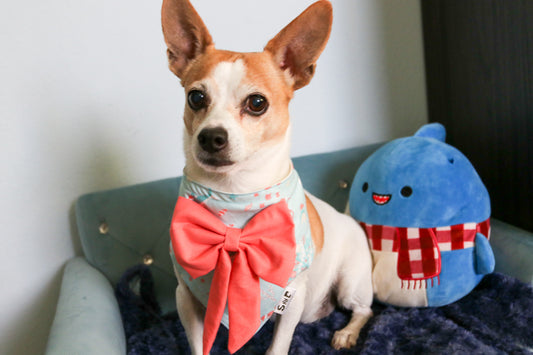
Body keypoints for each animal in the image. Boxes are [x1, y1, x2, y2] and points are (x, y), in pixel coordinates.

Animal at [160, 1, 372, 354]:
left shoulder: (291, 296)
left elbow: (278, 345)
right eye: (196, 98)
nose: (211, 136)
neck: (234, 194)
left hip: (349, 281)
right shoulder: (185, 296)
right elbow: (198, 344)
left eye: (257, 103)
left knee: (363, 310)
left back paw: (347, 333)